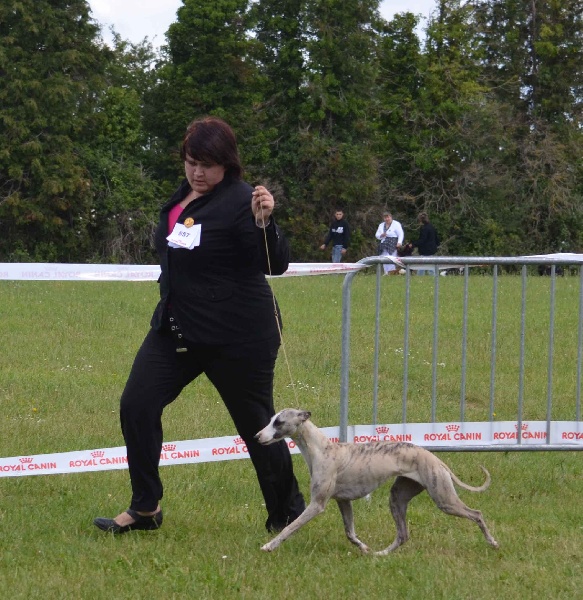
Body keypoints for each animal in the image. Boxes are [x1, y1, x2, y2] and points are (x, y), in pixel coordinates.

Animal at [255, 409, 499, 554]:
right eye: (270, 420)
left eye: (279, 422)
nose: (257, 436)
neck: (322, 449)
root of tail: (435, 459)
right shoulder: (343, 501)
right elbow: (350, 533)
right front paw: (364, 548)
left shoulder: (318, 504)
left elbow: (290, 527)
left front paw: (269, 545)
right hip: (398, 497)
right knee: (403, 535)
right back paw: (380, 555)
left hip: (444, 499)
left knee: (477, 514)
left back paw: (493, 542)